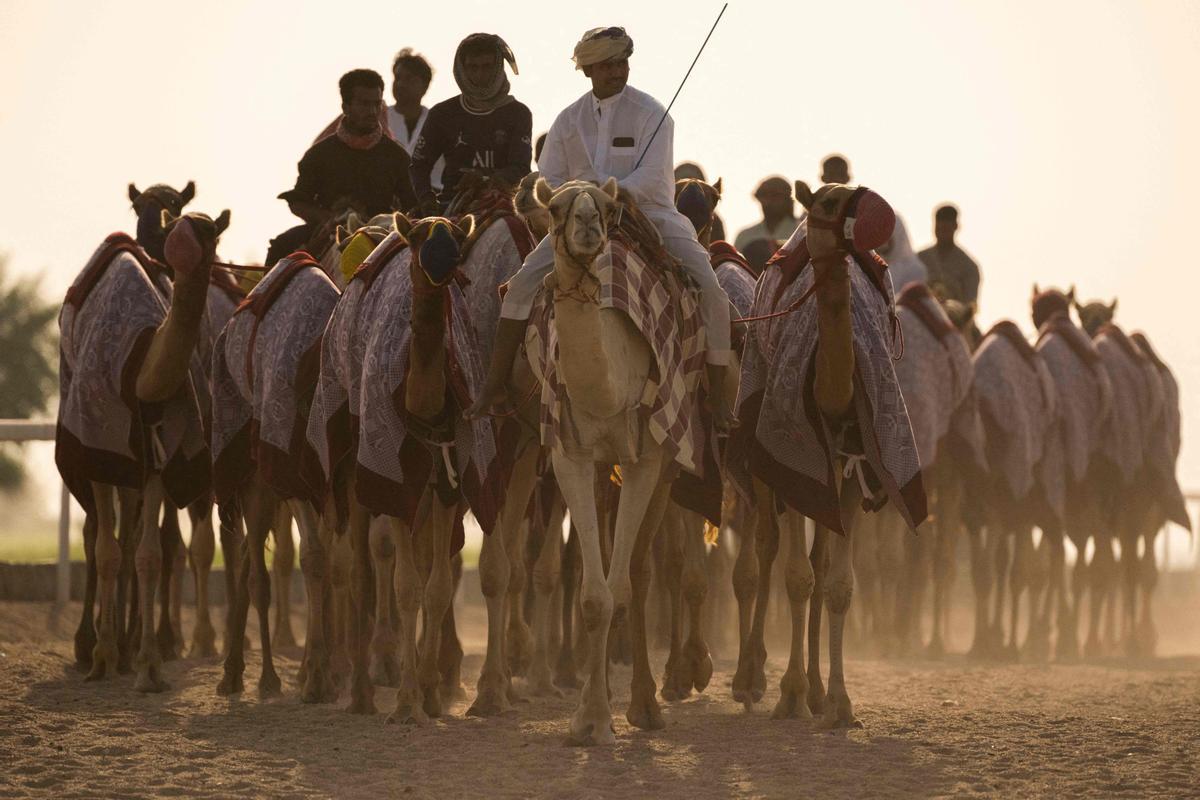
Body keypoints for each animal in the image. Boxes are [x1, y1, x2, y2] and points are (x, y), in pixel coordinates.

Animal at [57, 195, 230, 695]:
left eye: (213, 231)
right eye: (190, 230)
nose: (204, 251)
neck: (141, 371)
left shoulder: (156, 458)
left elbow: (148, 554)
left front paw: (148, 664)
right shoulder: (97, 449)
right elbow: (107, 552)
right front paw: (102, 657)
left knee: (134, 535)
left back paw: (131, 644)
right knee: (97, 533)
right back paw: (92, 645)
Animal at [724, 181, 921, 724]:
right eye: (828, 203)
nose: (876, 214)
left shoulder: (852, 469)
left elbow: (836, 585)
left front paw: (837, 701)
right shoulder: (795, 458)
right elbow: (797, 578)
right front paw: (788, 693)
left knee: (814, 556)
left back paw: (812, 689)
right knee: (767, 546)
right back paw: (751, 678)